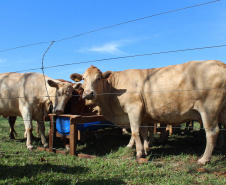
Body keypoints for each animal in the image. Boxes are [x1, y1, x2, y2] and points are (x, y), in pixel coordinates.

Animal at [71, 60, 226, 165]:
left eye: (98, 78)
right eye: (83, 78)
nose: (88, 93)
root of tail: (218, 63)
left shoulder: (134, 108)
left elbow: (135, 132)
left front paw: (139, 153)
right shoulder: (144, 115)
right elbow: (144, 132)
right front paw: (146, 149)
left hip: (209, 109)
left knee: (212, 132)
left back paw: (204, 159)